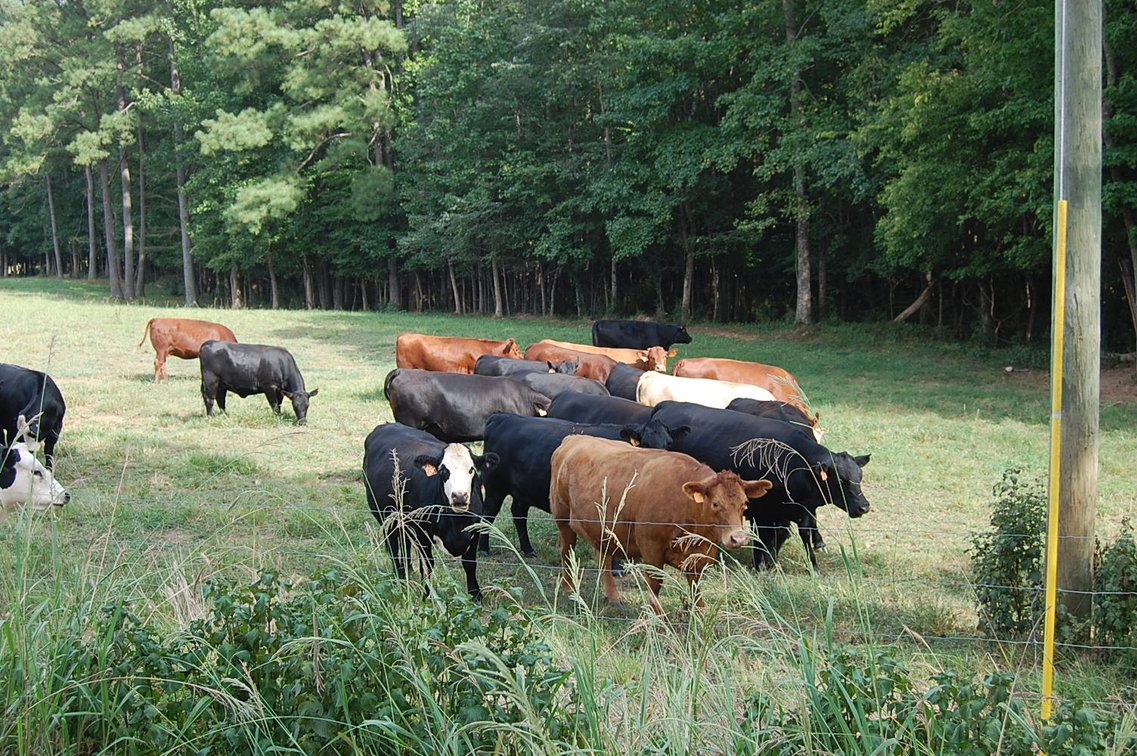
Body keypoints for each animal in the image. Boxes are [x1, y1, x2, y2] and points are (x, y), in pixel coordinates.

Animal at [363, 423, 499, 601]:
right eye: (443, 470)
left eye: (471, 470)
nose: (459, 496)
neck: (455, 521)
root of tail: (386, 425)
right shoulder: (422, 533)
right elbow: (427, 565)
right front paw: (426, 596)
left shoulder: (474, 529)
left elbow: (470, 564)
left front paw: (476, 596)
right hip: (387, 518)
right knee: (393, 547)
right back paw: (400, 577)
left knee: (405, 542)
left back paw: (408, 569)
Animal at [479, 412, 691, 557]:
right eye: (645, 444)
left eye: (669, 444)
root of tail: (503, 417)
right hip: (494, 488)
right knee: (487, 515)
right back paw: (483, 550)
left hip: (522, 490)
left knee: (519, 514)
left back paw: (528, 550)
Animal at [550, 436, 771, 614]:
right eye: (716, 503)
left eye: (745, 504)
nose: (738, 538)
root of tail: (574, 438)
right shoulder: (650, 545)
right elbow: (655, 582)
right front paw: (656, 613)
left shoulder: (702, 551)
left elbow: (695, 582)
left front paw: (700, 610)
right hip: (563, 520)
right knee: (567, 552)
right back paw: (569, 589)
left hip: (602, 529)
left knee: (603, 558)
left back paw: (613, 596)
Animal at [649, 400, 871, 572]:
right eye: (841, 480)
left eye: (859, 476)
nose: (864, 506)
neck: (790, 461)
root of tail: (668, 404)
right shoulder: (760, 510)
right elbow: (762, 537)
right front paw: (761, 566)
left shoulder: (800, 510)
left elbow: (793, 534)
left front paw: (809, 567)